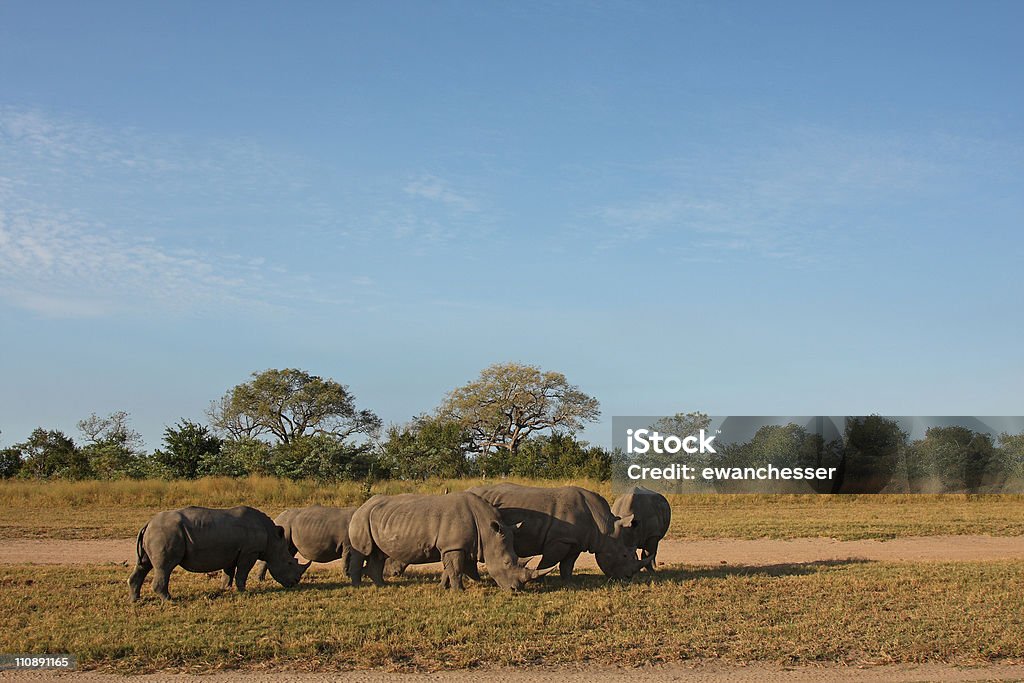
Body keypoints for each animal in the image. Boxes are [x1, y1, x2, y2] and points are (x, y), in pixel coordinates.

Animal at [126, 505, 307, 602]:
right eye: (289, 563)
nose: (295, 583)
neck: (272, 540)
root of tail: (147, 524)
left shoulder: (232, 551)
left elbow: (228, 572)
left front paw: (225, 589)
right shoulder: (249, 552)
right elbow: (242, 572)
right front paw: (244, 592)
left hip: (157, 533)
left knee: (144, 565)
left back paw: (136, 600)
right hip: (165, 533)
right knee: (164, 567)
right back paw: (169, 600)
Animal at [348, 491, 552, 593]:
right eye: (507, 563)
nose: (516, 590)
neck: (487, 530)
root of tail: (362, 505)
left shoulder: (451, 546)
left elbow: (449, 569)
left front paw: (442, 587)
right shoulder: (454, 546)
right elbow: (456, 569)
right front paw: (459, 591)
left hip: (376, 518)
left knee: (377, 554)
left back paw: (382, 586)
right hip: (361, 518)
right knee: (363, 551)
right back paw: (358, 586)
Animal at [468, 483, 651, 581]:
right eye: (624, 555)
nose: (628, 578)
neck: (604, 528)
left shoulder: (576, 541)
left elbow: (568, 563)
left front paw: (568, 581)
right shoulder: (560, 540)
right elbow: (549, 560)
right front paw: (540, 580)